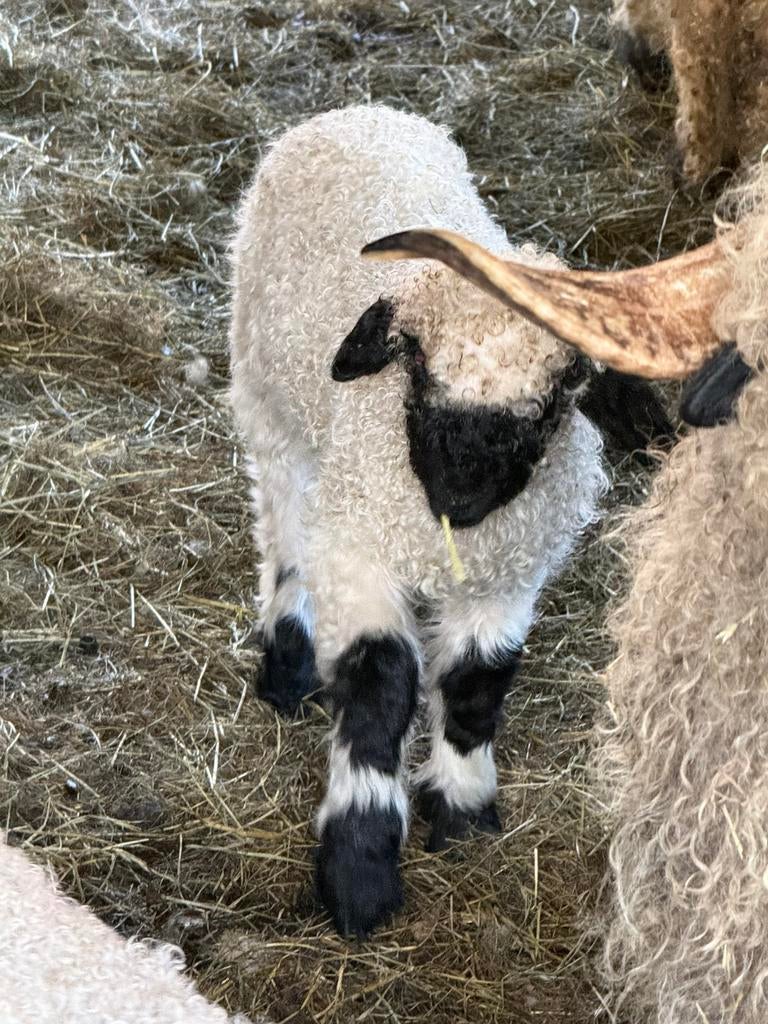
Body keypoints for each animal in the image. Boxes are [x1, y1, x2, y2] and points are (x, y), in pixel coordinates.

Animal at [228, 104, 671, 939]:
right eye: (414, 364)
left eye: (560, 395)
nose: (458, 499)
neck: (456, 541)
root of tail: (361, 111)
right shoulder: (360, 552)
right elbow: (381, 685)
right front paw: (360, 867)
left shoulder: (510, 574)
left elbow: (477, 684)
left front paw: (461, 805)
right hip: (268, 399)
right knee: (284, 524)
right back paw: (289, 657)